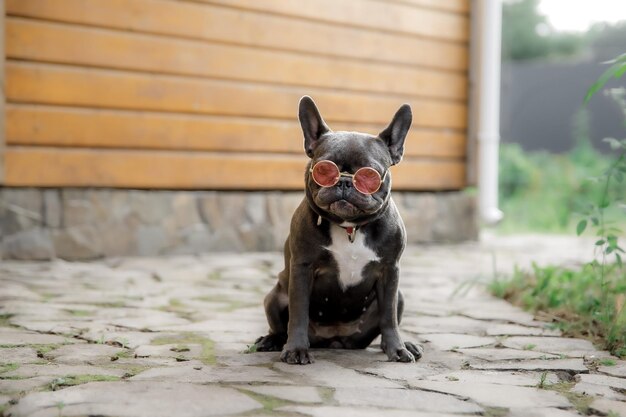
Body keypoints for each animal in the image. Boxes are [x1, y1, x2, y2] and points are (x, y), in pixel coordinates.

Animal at [251, 96, 422, 362]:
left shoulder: (390, 272)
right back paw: (271, 341)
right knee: (279, 326)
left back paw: (406, 345)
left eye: (370, 175)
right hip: (274, 296)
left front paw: (397, 349)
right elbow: (298, 314)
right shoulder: (302, 269)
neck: (350, 228)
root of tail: (334, 339)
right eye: (324, 169)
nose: (344, 181)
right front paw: (296, 349)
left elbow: (389, 318)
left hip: (398, 298)